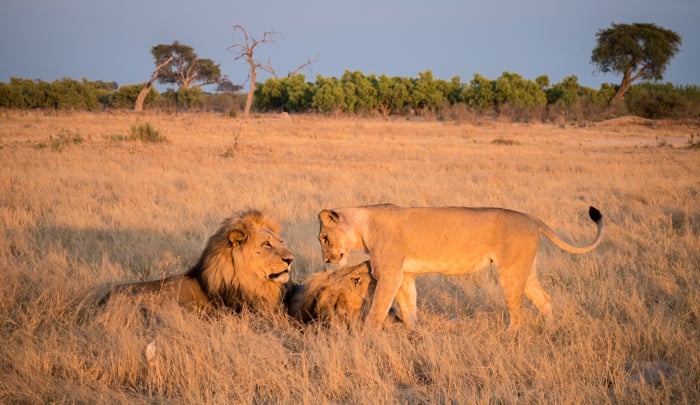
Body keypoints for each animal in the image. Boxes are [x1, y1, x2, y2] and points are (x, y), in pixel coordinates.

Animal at [318, 204, 605, 330]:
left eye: (324, 238)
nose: (327, 260)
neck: (363, 226)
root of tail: (532, 218)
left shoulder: (389, 275)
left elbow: (377, 311)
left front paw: (365, 337)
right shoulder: (405, 275)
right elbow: (410, 308)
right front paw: (415, 334)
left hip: (509, 271)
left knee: (519, 312)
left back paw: (509, 336)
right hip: (525, 269)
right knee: (544, 299)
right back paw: (551, 330)